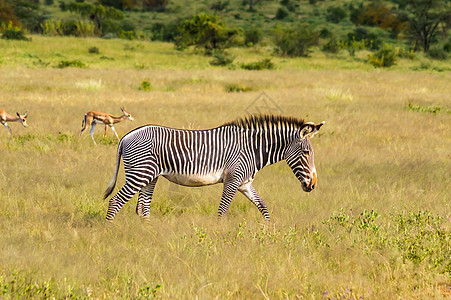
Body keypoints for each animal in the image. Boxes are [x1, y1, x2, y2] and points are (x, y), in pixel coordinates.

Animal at [104, 115, 324, 220]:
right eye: (306, 153)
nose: (313, 185)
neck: (252, 149)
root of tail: (127, 136)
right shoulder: (232, 180)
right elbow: (222, 211)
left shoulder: (244, 183)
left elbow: (263, 206)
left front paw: (270, 233)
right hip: (139, 174)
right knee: (115, 201)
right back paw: (109, 230)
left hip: (150, 176)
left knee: (143, 208)